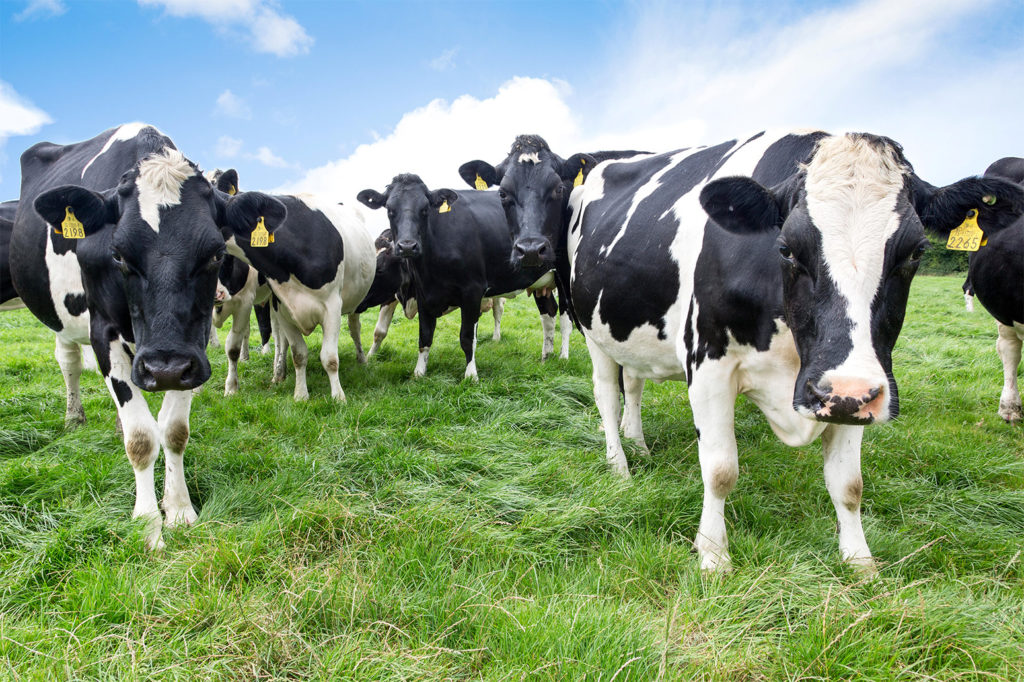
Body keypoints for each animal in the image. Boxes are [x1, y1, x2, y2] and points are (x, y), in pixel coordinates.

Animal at [9, 122, 288, 548]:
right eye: (118, 254)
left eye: (214, 253)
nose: (163, 369)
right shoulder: (103, 331)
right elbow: (140, 438)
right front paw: (147, 523)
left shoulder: (191, 349)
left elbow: (173, 430)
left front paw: (178, 509)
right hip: (64, 320)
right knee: (69, 363)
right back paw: (74, 416)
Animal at [354, 174, 561, 376]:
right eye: (390, 209)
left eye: (424, 209)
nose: (406, 246)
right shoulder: (422, 295)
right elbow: (422, 335)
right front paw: (418, 372)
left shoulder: (472, 291)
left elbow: (467, 337)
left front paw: (471, 374)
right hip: (541, 284)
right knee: (549, 314)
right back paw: (546, 357)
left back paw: (563, 357)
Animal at [497, 130, 1024, 569]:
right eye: (787, 248)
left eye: (915, 252)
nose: (843, 392)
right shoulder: (709, 366)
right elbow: (720, 470)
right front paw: (713, 555)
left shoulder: (850, 386)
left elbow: (849, 485)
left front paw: (859, 561)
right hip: (590, 326)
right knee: (607, 393)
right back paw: (619, 464)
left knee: (635, 383)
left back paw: (638, 442)